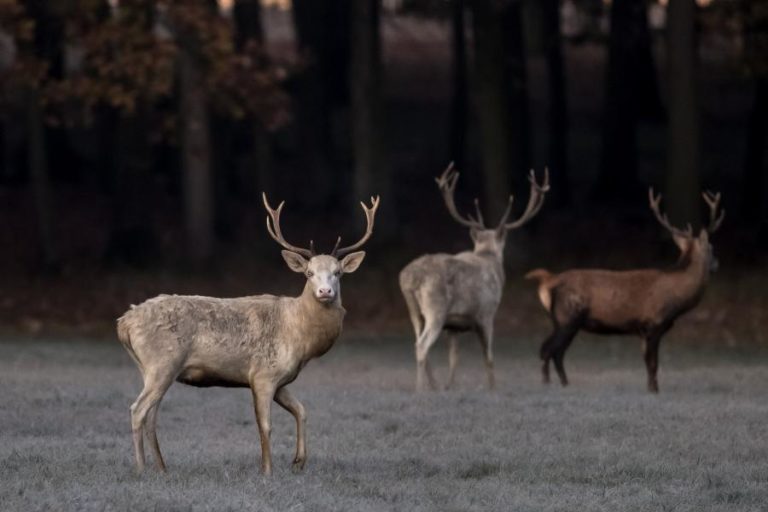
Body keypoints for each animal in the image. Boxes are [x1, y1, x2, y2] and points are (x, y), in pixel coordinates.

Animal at [116, 193, 380, 475]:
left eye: (337, 273)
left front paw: (298, 461)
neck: (300, 337)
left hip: (150, 368)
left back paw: (162, 468)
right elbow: (265, 425)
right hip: (162, 363)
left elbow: (302, 410)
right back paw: (141, 468)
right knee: (137, 410)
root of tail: (124, 322)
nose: (325, 292)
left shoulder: (281, 379)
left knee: (151, 414)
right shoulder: (263, 374)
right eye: (309, 273)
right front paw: (267, 471)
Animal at [399, 162, 550, 392]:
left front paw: (449, 386)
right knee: (422, 345)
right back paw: (420, 389)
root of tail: (409, 278)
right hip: (435, 308)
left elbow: (454, 358)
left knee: (417, 343)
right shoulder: (487, 312)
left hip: (415, 311)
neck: (487, 257)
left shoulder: (453, 326)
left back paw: (433, 385)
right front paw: (493, 387)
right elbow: (488, 357)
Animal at [525, 189, 724, 393]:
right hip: (567, 318)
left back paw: (563, 383)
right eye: (711, 248)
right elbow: (653, 363)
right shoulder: (653, 324)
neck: (677, 300)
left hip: (562, 321)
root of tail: (549, 281)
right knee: (548, 350)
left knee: (554, 351)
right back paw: (548, 382)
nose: (717, 264)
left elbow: (647, 363)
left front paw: (650, 387)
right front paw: (654, 390)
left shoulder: (643, 330)